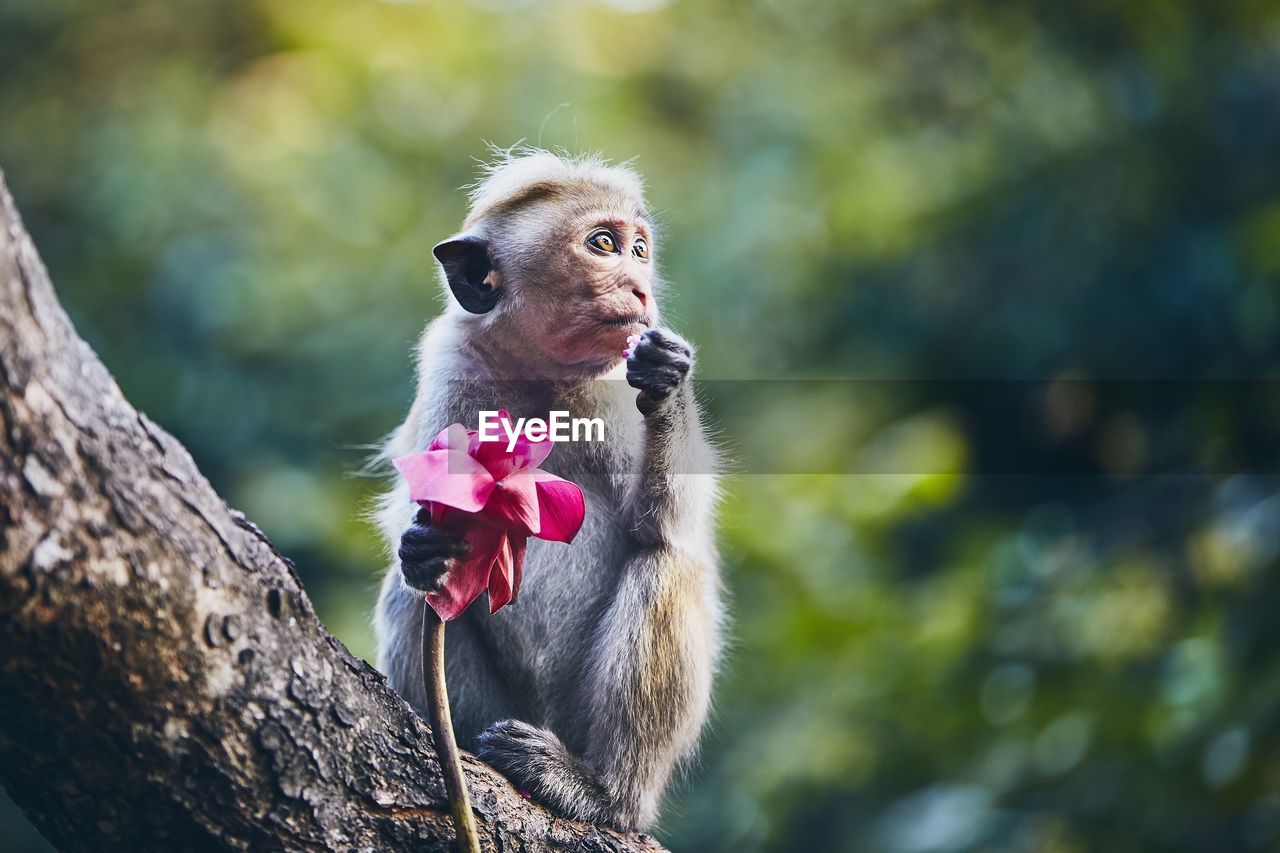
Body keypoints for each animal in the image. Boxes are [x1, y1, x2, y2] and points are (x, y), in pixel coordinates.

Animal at [373, 149, 727, 824]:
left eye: (640, 249)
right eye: (603, 244)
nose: (640, 287)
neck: (541, 373)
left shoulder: (614, 392)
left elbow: (666, 526)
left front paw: (669, 381)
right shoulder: (451, 366)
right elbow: (419, 516)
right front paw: (421, 547)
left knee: (664, 565)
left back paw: (603, 791)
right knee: (414, 598)